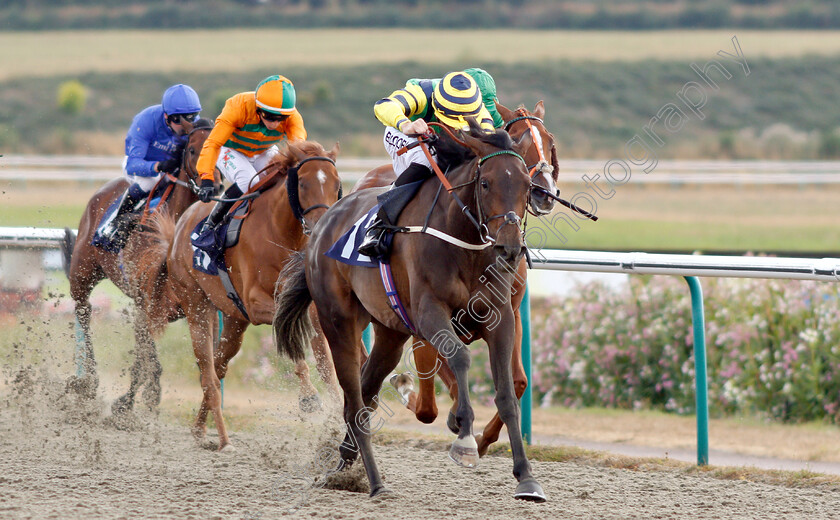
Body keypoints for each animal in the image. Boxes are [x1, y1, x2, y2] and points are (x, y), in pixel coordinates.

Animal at [60, 119, 215, 414]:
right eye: (192, 150)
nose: (211, 188)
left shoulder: (189, 307)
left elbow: (147, 357)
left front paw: (140, 397)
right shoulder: (145, 301)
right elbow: (147, 357)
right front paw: (134, 400)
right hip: (82, 273)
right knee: (84, 310)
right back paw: (89, 381)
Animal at [139, 139, 342, 450]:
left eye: (336, 183)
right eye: (303, 183)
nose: (322, 226)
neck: (281, 234)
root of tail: (177, 233)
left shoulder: (309, 310)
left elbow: (327, 367)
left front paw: (339, 420)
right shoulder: (257, 303)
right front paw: (309, 397)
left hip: (235, 320)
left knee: (219, 366)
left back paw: (199, 429)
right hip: (197, 306)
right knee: (209, 376)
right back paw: (223, 440)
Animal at [276, 120, 548, 502]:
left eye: (525, 185)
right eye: (485, 183)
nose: (509, 247)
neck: (463, 242)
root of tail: (322, 226)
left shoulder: (500, 317)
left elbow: (508, 392)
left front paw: (526, 477)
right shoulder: (429, 312)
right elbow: (460, 357)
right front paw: (465, 440)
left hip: (390, 333)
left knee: (366, 392)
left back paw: (344, 465)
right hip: (338, 322)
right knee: (354, 401)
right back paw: (376, 483)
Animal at [352, 100, 560, 456]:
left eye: (549, 141)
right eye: (521, 137)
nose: (545, 194)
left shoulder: (509, 312)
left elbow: (517, 381)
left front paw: (485, 437)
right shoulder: (424, 316)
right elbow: (428, 399)